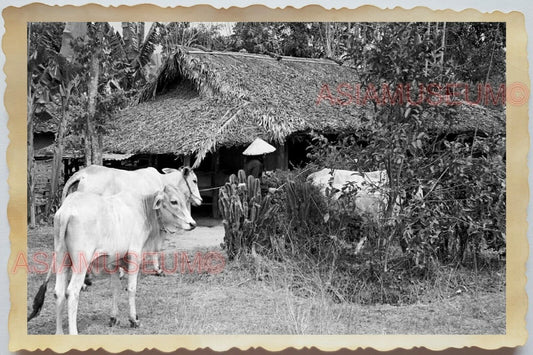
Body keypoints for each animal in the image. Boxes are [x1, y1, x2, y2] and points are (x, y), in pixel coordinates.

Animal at [28, 188, 194, 336]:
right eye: (174, 201)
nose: (192, 224)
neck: (143, 209)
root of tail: (66, 211)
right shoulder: (134, 255)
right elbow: (131, 288)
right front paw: (134, 319)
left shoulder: (114, 261)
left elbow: (115, 288)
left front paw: (114, 318)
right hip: (81, 264)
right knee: (72, 292)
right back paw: (73, 333)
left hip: (62, 259)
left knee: (59, 292)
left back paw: (59, 333)